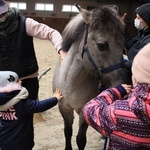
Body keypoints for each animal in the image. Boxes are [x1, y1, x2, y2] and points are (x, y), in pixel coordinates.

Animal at [52, 4, 131, 150]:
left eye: (123, 43)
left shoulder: (84, 112)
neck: (70, 83)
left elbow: (80, 139)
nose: (125, 84)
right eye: (101, 45)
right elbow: (67, 132)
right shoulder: (64, 109)